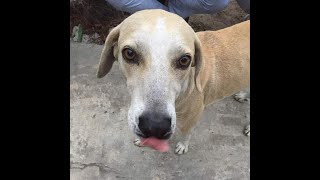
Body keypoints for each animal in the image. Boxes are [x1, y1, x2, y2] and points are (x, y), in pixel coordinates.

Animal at [96, 9, 249, 155]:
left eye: (184, 60)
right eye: (129, 53)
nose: (155, 127)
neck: (185, 88)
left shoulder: (192, 118)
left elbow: (186, 134)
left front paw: (183, 146)